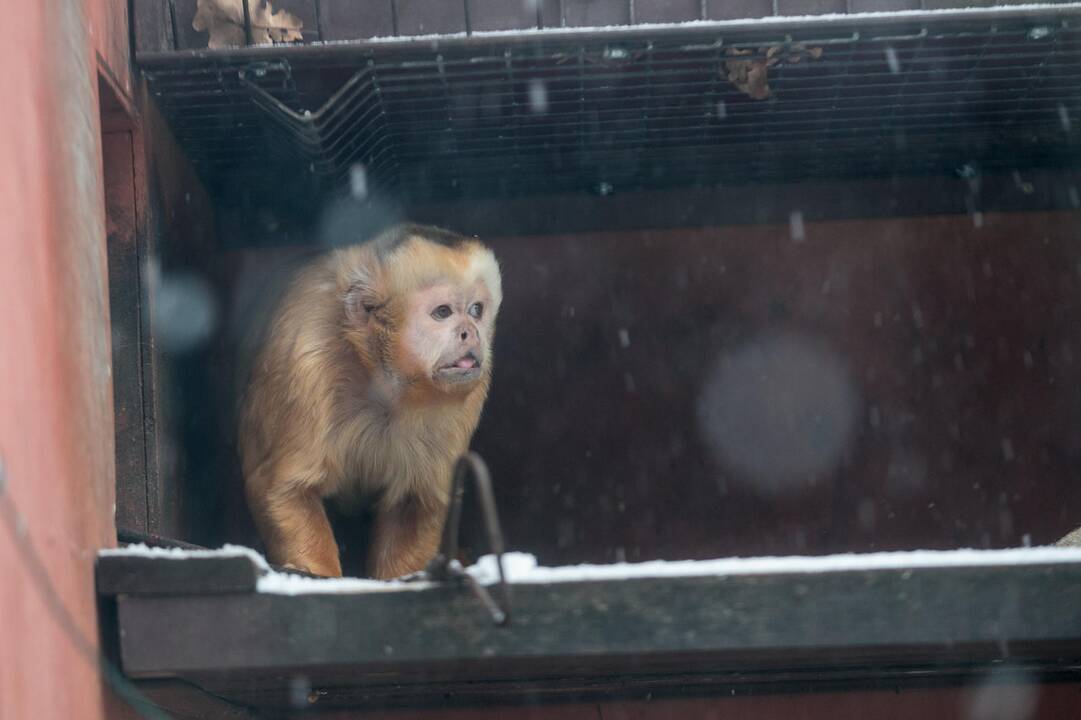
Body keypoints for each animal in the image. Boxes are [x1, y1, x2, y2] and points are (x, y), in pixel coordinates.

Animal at [238, 224, 499, 579]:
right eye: (442, 313)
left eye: (476, 310)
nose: (471, 333)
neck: (379, 375)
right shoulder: (303, 360)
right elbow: (283, 489)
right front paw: (318, 574)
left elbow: (414, 501)